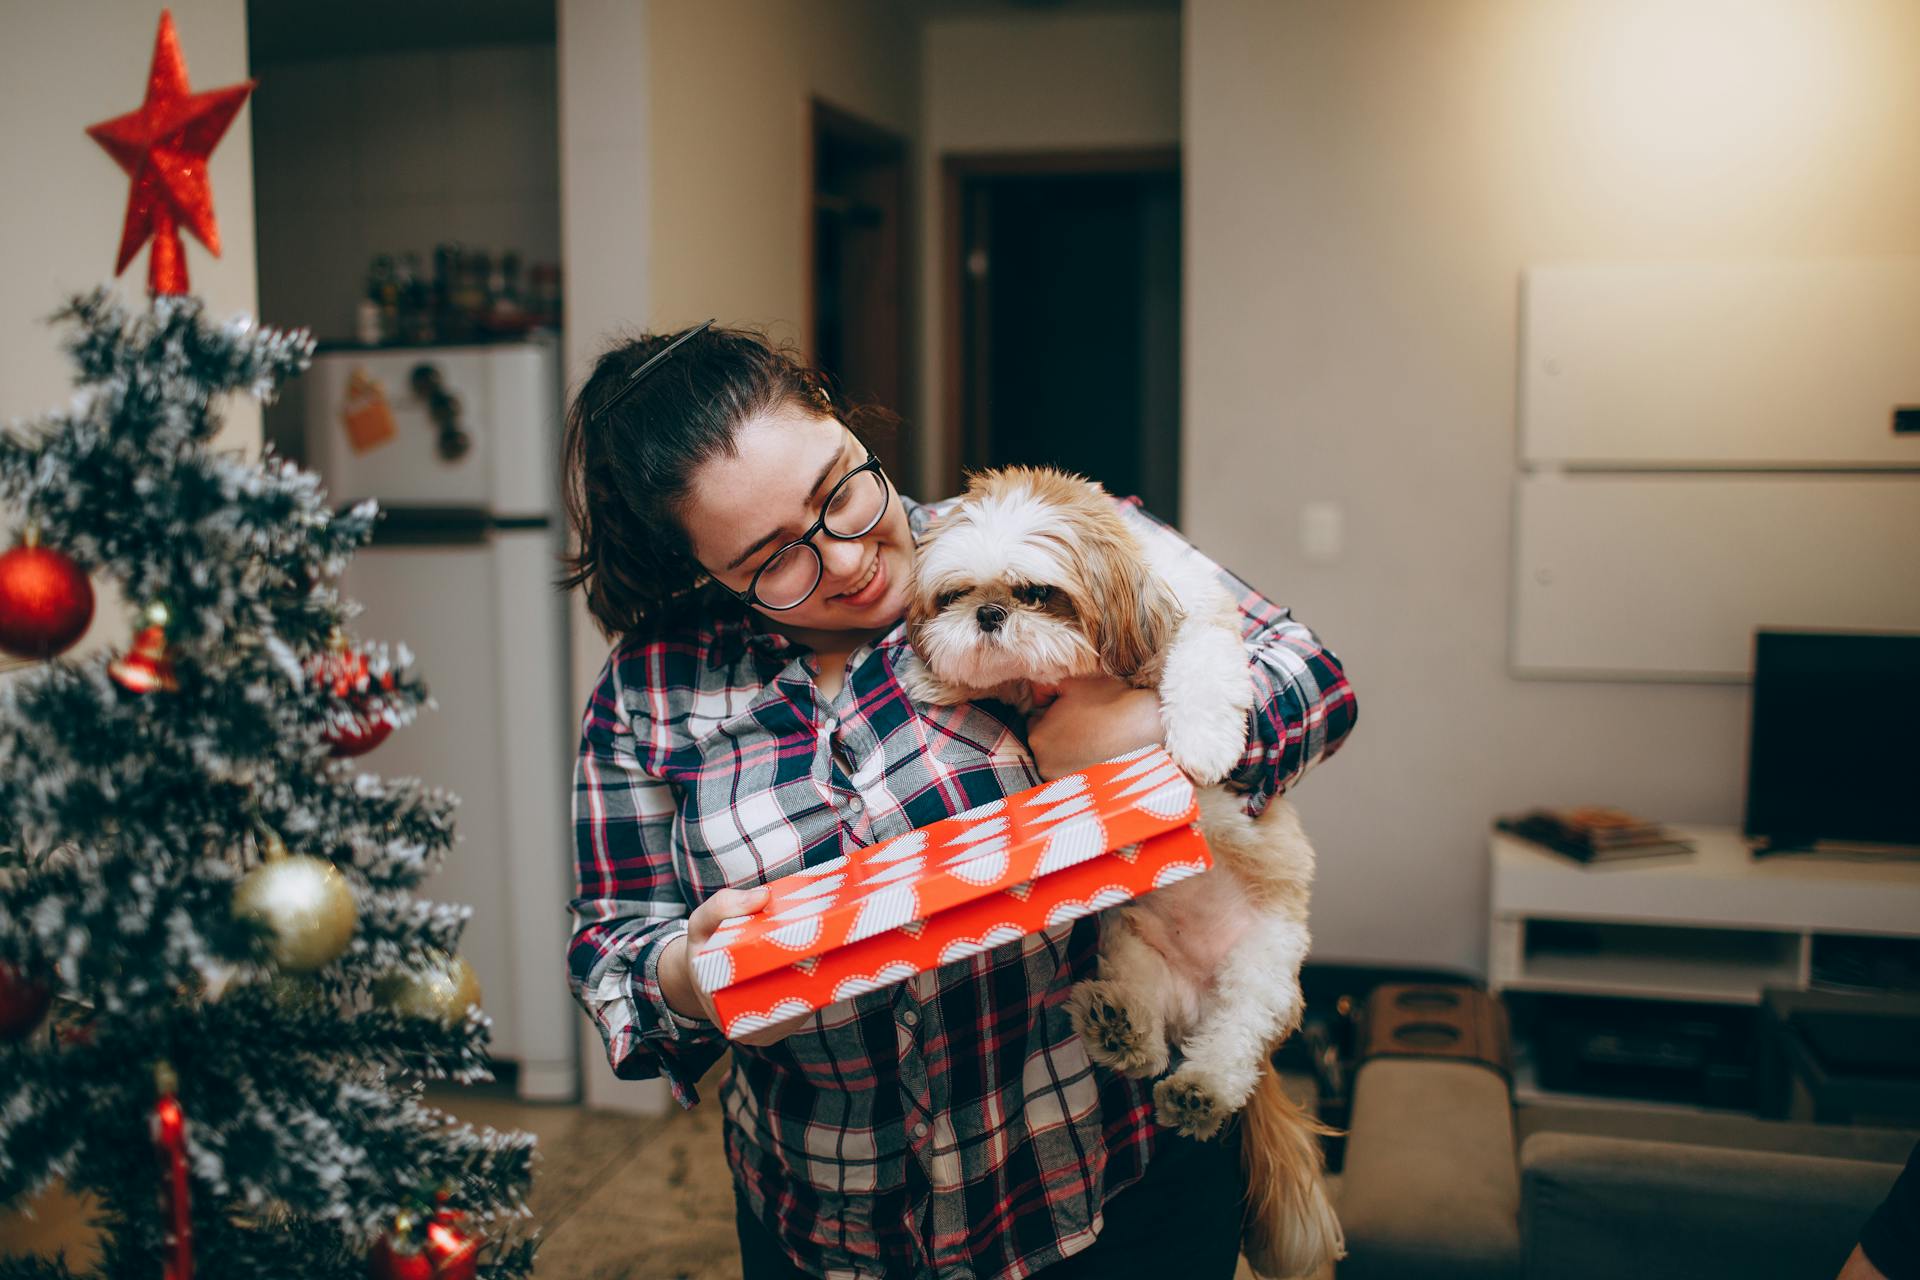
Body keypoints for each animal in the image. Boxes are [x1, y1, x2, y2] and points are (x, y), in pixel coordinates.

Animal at [902, 470, 1344, 1280]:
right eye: (956, 594)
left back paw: (1201, 1091)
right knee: (1149, 1034)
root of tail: (1196, 1000)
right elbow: (1002, 685)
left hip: (1264, 972)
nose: (988, 615)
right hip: (1127, 942)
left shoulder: (1199, 618)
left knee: (1234, 1046)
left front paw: (1203, 742)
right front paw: (939, 675)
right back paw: (1121, 1030)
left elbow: (1202, 669)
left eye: (1036, 593)